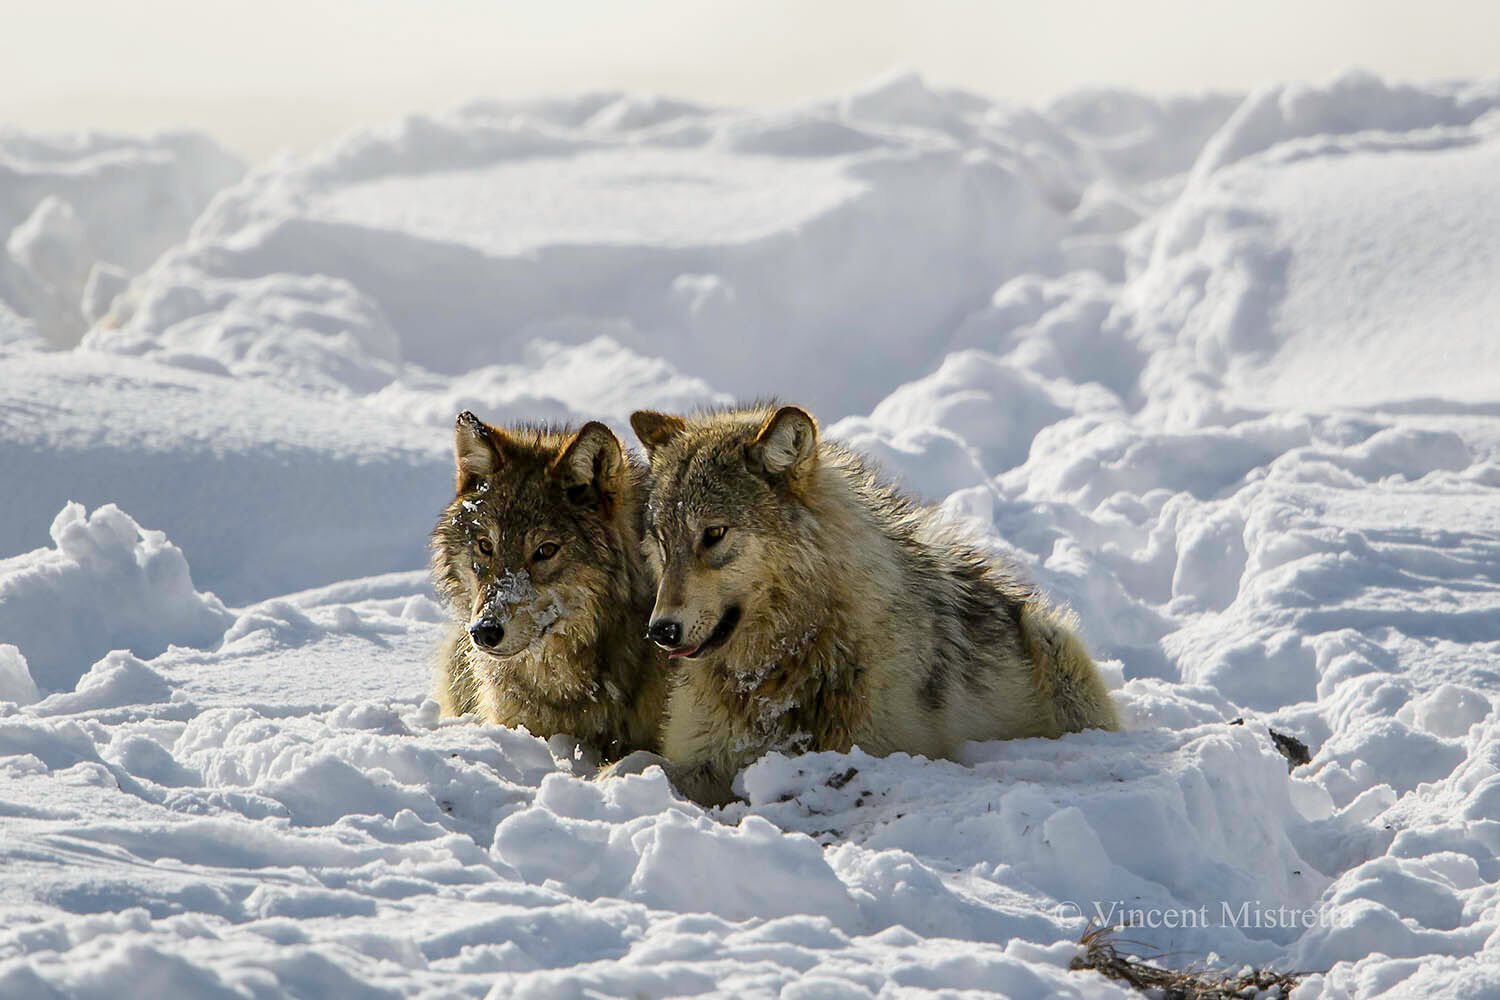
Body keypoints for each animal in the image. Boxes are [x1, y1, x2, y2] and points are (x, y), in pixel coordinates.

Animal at [603, 401, 1122, 803]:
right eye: (662, 541)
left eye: (713, 534)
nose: (661, 630)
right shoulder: (705, 750)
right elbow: (638, 762)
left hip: (1053, 641)